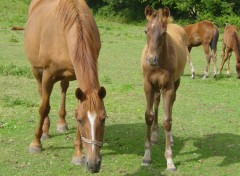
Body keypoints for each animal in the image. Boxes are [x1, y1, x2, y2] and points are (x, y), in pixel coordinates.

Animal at [24, 0, 107, 173]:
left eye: (103, 119)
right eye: (81, 121)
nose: (94, 164)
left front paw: (78, 154)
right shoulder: (48, 75)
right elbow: (43, 108)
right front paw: (36, 143)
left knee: (63, 89)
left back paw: (61, 124)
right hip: (37, 71)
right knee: (41, 93)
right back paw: (45, 131)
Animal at [141, 5, 188, 172]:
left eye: (163, 33)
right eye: (146, 31)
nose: (151, 59)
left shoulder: (168, 87)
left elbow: (167, 120)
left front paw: (170, 161)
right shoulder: (148, 85)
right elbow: (148, 116)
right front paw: (146, 157)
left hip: (176, 83)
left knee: (171, 105)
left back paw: (171, 138)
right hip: (156, 88)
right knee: (156, 102)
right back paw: (155, 136)